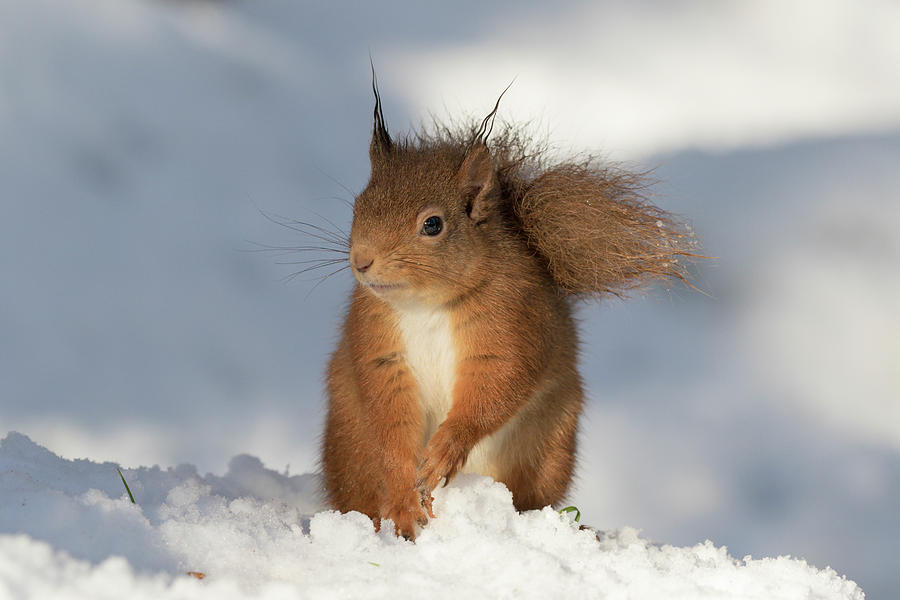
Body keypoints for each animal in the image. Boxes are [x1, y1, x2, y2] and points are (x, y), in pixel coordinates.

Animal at [320, 76, 700, 540]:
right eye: (358, 206)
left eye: (433, 224)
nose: (362, 261)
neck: (427, 307)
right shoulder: (379, 342)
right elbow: (389, 421)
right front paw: (404, 503)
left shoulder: (512, 317)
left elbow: (500, 381)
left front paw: (445, 450)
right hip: (349, 443)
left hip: (549, 445)